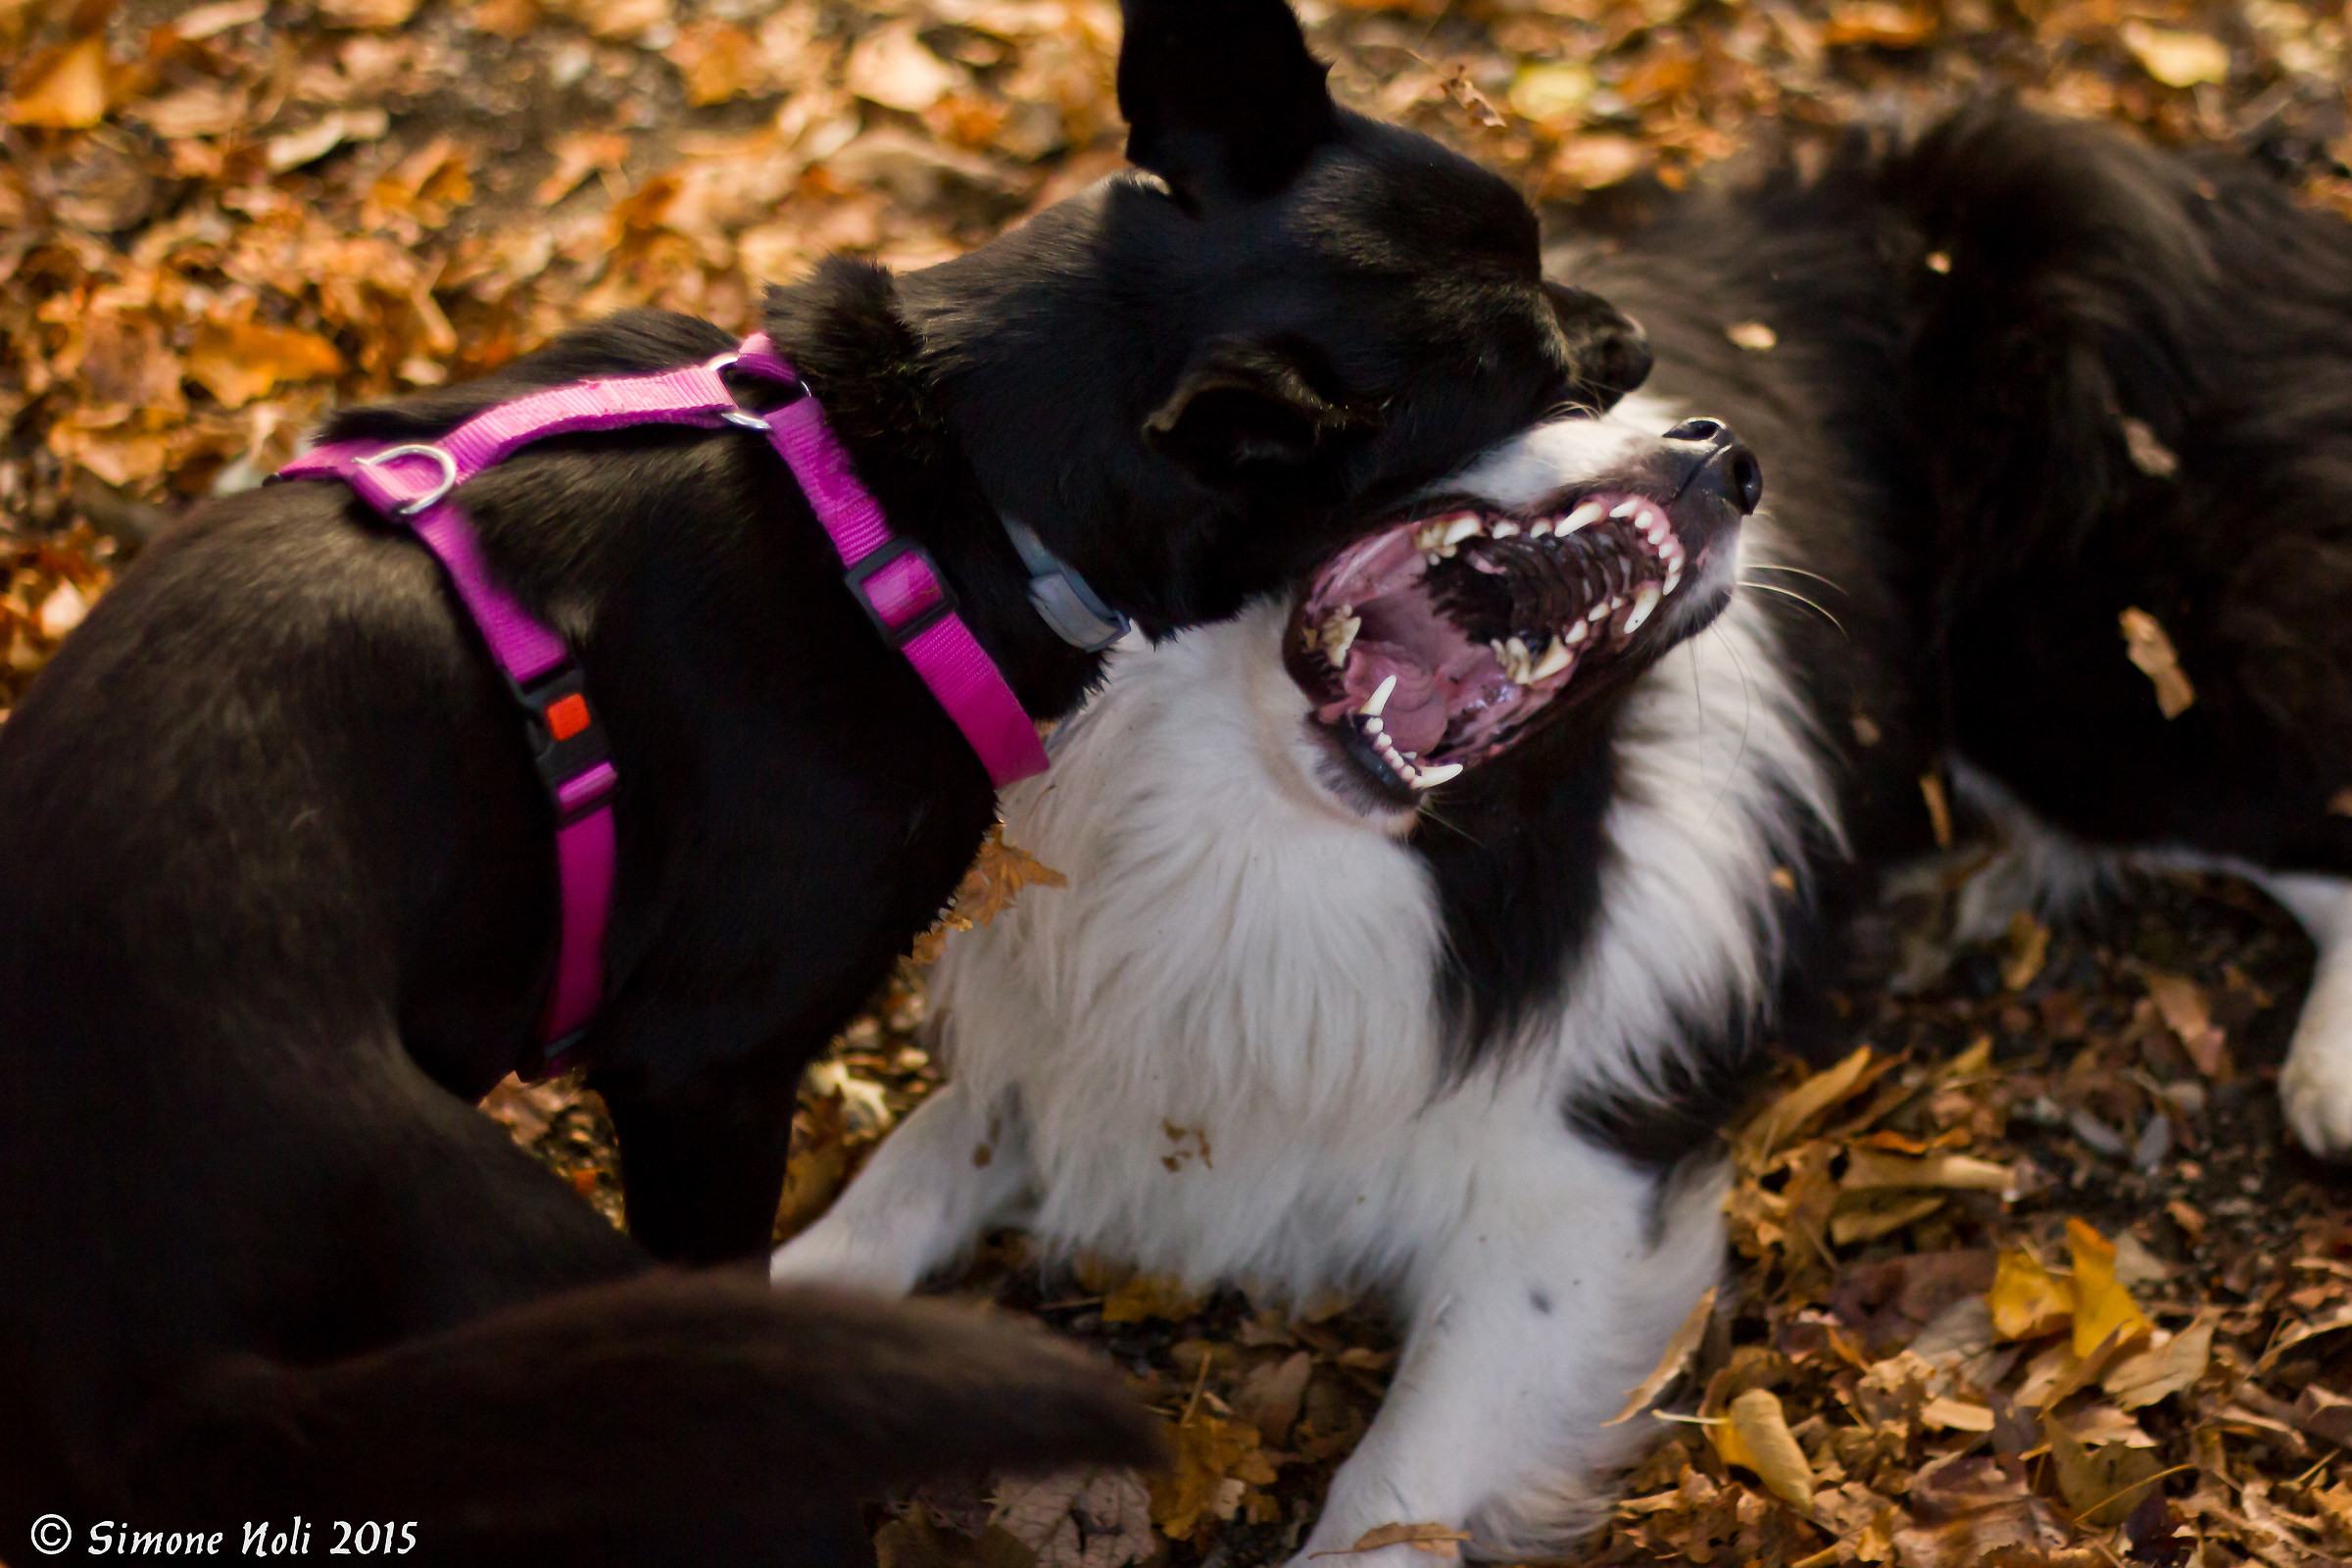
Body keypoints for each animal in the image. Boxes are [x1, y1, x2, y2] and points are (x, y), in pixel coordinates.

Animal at [0, 0, 1655, 1560]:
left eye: (1532, 232)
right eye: (1532, 370)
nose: (1638, 340)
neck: (927, 486)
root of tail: (148, 1367)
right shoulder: (706, 1072)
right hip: (542, 1291)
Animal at [780, 107, 2352, 1560]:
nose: (1729, 455)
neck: (1255, 837)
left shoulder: (1574, 1205)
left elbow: (1384, 1498)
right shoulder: (1087, 1047)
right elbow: (904, 1175)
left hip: (2091, 676)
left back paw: (2327, 1072)